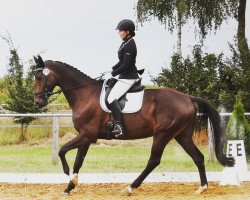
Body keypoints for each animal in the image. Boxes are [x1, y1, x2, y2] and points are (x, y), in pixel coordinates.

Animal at [33, 55, 234, 195]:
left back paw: (130, 188)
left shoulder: (87, 135)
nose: (38, 101)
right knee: (198, 157)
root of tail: (187, 97)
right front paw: (70, 186)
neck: (84, 95)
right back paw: (202, 188)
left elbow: (62, 151)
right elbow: (78, 161)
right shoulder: (86, 137)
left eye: (40, 78)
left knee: (154, 160)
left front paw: (68, 175)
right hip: (182, 135)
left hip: (163, 134)